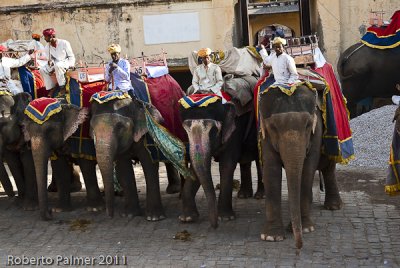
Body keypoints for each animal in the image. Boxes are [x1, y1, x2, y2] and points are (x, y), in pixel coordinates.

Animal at [258, 84, 342, 249]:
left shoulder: (317, 131)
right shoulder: (264, 134)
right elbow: (271, 170)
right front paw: (272, 237)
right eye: (273, 127)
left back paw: (334, 206)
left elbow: (308, 169)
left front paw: (306, 229)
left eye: (308, 125)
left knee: (329, 167)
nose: (298, 247)